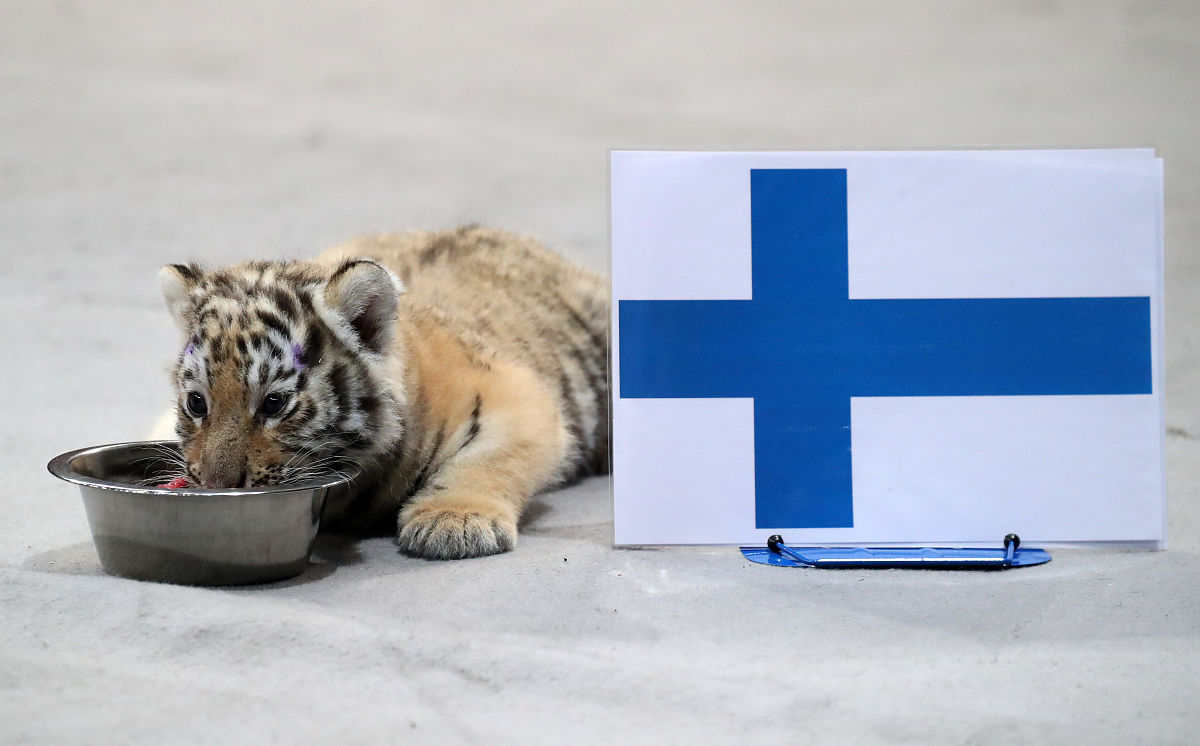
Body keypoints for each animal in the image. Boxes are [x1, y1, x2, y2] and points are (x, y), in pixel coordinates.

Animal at [153, 226, 609, 559]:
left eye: (274, 403)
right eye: (197, 402)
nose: (216, 484)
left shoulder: (519, 396)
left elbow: (489, 460)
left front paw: (453, 521)